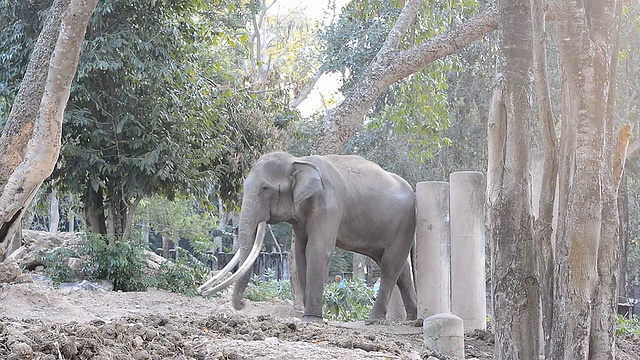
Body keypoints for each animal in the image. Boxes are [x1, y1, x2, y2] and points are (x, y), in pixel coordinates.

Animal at [201, 150, 420, 324]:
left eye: (265, 189)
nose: (243, 304)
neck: (299, 161)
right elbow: (300, 253)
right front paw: (307, 317)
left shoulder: (330, 205)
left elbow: (317, 250)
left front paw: (311, 319)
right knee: (401, 270)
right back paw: (412, 319)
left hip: (405, 223)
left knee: (390, 266)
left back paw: (374, 321)